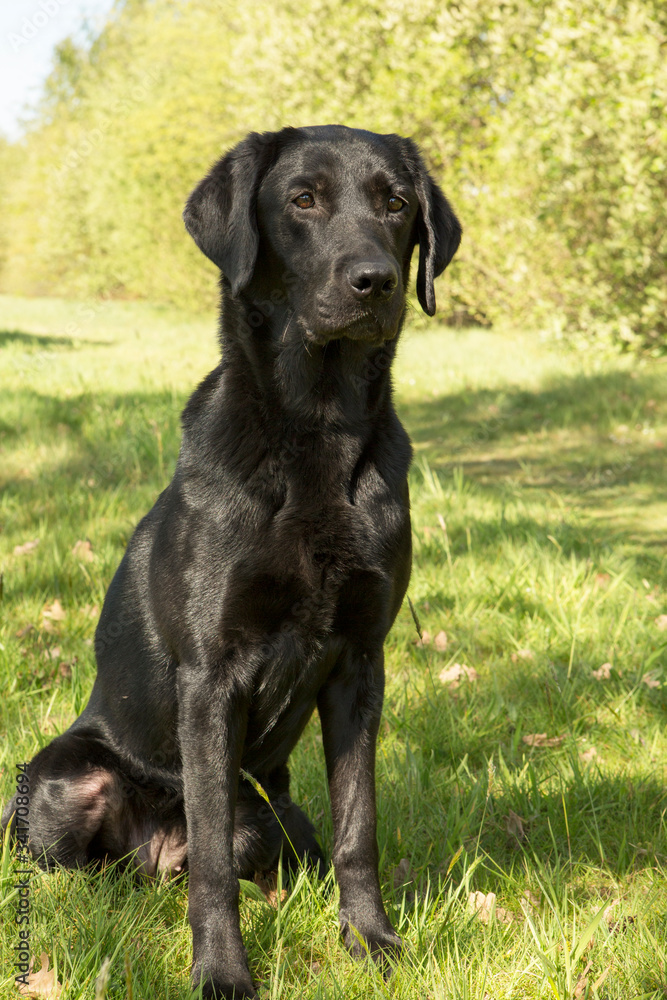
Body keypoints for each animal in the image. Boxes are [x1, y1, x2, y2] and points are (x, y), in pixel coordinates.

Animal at [2, 125, 462, 1000]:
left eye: (395, 204)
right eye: (303, 199)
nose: (375, 281)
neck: (317, 429)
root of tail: (150, 861)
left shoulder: (360, 664)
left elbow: (359, 828)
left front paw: (370, 940)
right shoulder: (212, 676)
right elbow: (212, 859)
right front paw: (219, 972)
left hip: (273, 813)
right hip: (62, 776)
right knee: (90, 866)